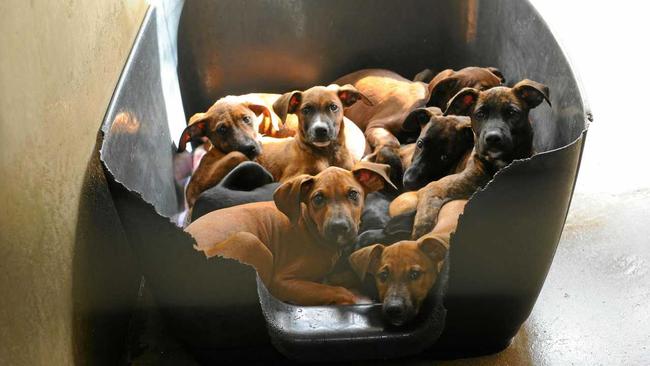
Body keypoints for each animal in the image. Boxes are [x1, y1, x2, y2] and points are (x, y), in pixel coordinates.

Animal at [185, 163, 392, 306]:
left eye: (353, 194)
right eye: (318, 198)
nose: (339, 227)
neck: (311, 229)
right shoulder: (283, 281)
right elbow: (340, 291)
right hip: (252, 243)